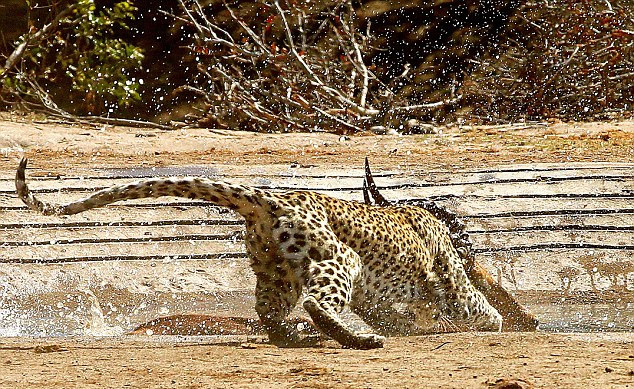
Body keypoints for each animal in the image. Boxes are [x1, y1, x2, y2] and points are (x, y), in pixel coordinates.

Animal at [16, 158, 504, 348]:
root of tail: (265, 197)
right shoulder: (451, 281)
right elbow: (475, 304)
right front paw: (495, 322)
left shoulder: (380, 298)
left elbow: (400, 314)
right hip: (339, 258)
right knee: (317, 303)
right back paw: (356, 340)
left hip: (274, 273)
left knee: (272, 315)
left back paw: (298, 337)